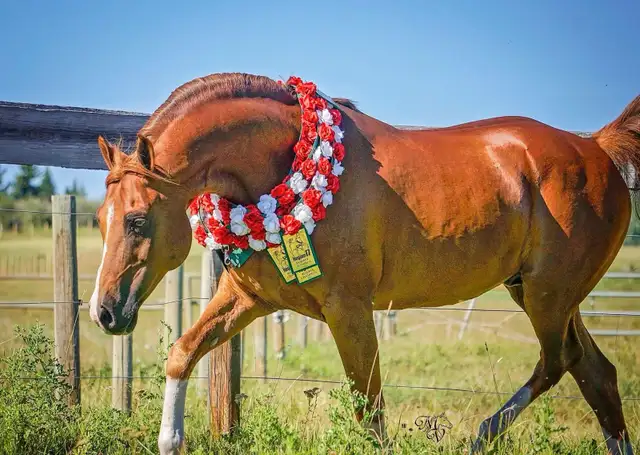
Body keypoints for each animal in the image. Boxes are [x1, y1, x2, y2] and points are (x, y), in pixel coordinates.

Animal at [88, 72, 639, 455]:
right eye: (99, 219)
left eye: (136, 220)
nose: (104, 312)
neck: (285, 163)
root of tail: (596, 147)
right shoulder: (249, 298)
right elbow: (182, 353)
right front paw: (170, 439)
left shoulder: (349, 311)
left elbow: (369, 413)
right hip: (539, 292)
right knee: (596, 374)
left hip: (549, 295)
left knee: (561, 360)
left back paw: (482, 432)